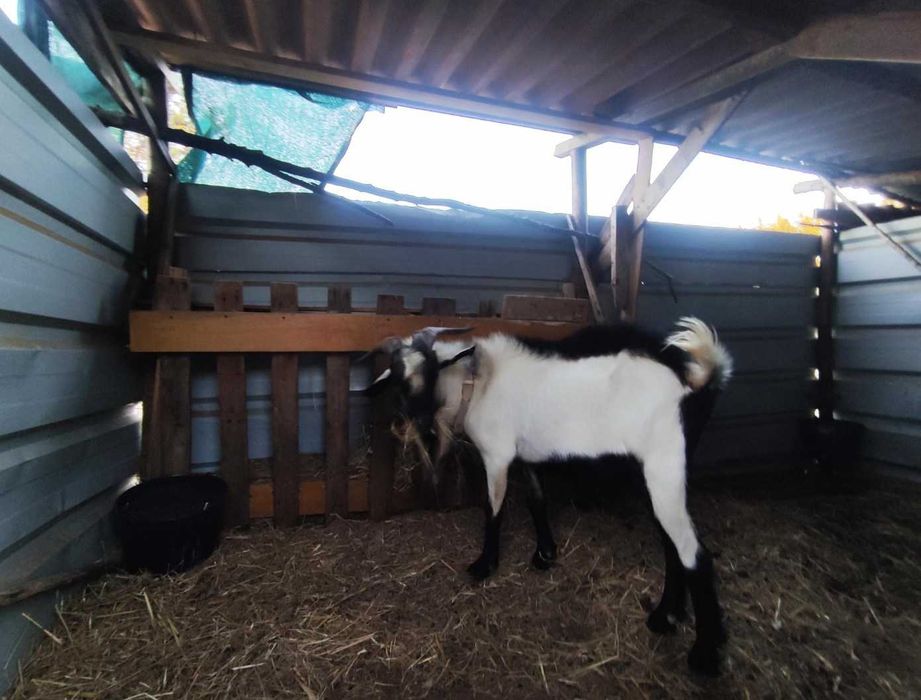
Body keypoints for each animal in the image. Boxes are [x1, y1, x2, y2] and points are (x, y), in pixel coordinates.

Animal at [367, 318, 732, 675]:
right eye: (397, 379)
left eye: (431, 370)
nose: (422, 426)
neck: (478, 383)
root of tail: (700, 375)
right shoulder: (526, 455)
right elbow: (536, 499)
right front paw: (545, 553)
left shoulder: (497, 454)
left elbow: (493, 508)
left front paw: (485, 564)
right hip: (654, 474)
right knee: (673, 546)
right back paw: (665, 617)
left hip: (664, 464)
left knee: (694, 553)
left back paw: (704, 655)